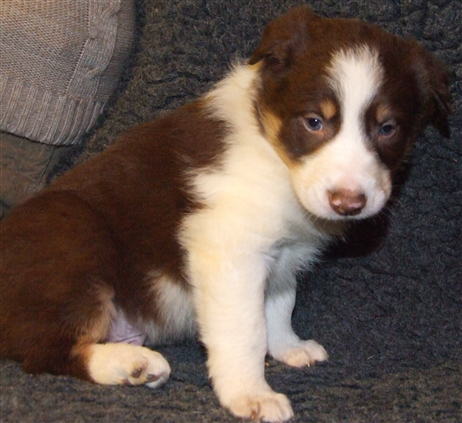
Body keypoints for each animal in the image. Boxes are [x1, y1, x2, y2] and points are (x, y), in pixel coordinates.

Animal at [0, 6, 451, 422]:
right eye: (314, 122)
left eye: (387, 129)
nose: (348, 202)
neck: (275, 155)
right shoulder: (229, 249)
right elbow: (245, 329)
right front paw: (251, 395)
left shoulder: (279, 252)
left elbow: (279, 302)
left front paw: (288, 348)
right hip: (74, 232)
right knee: (45, 352)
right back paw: (132, 365)